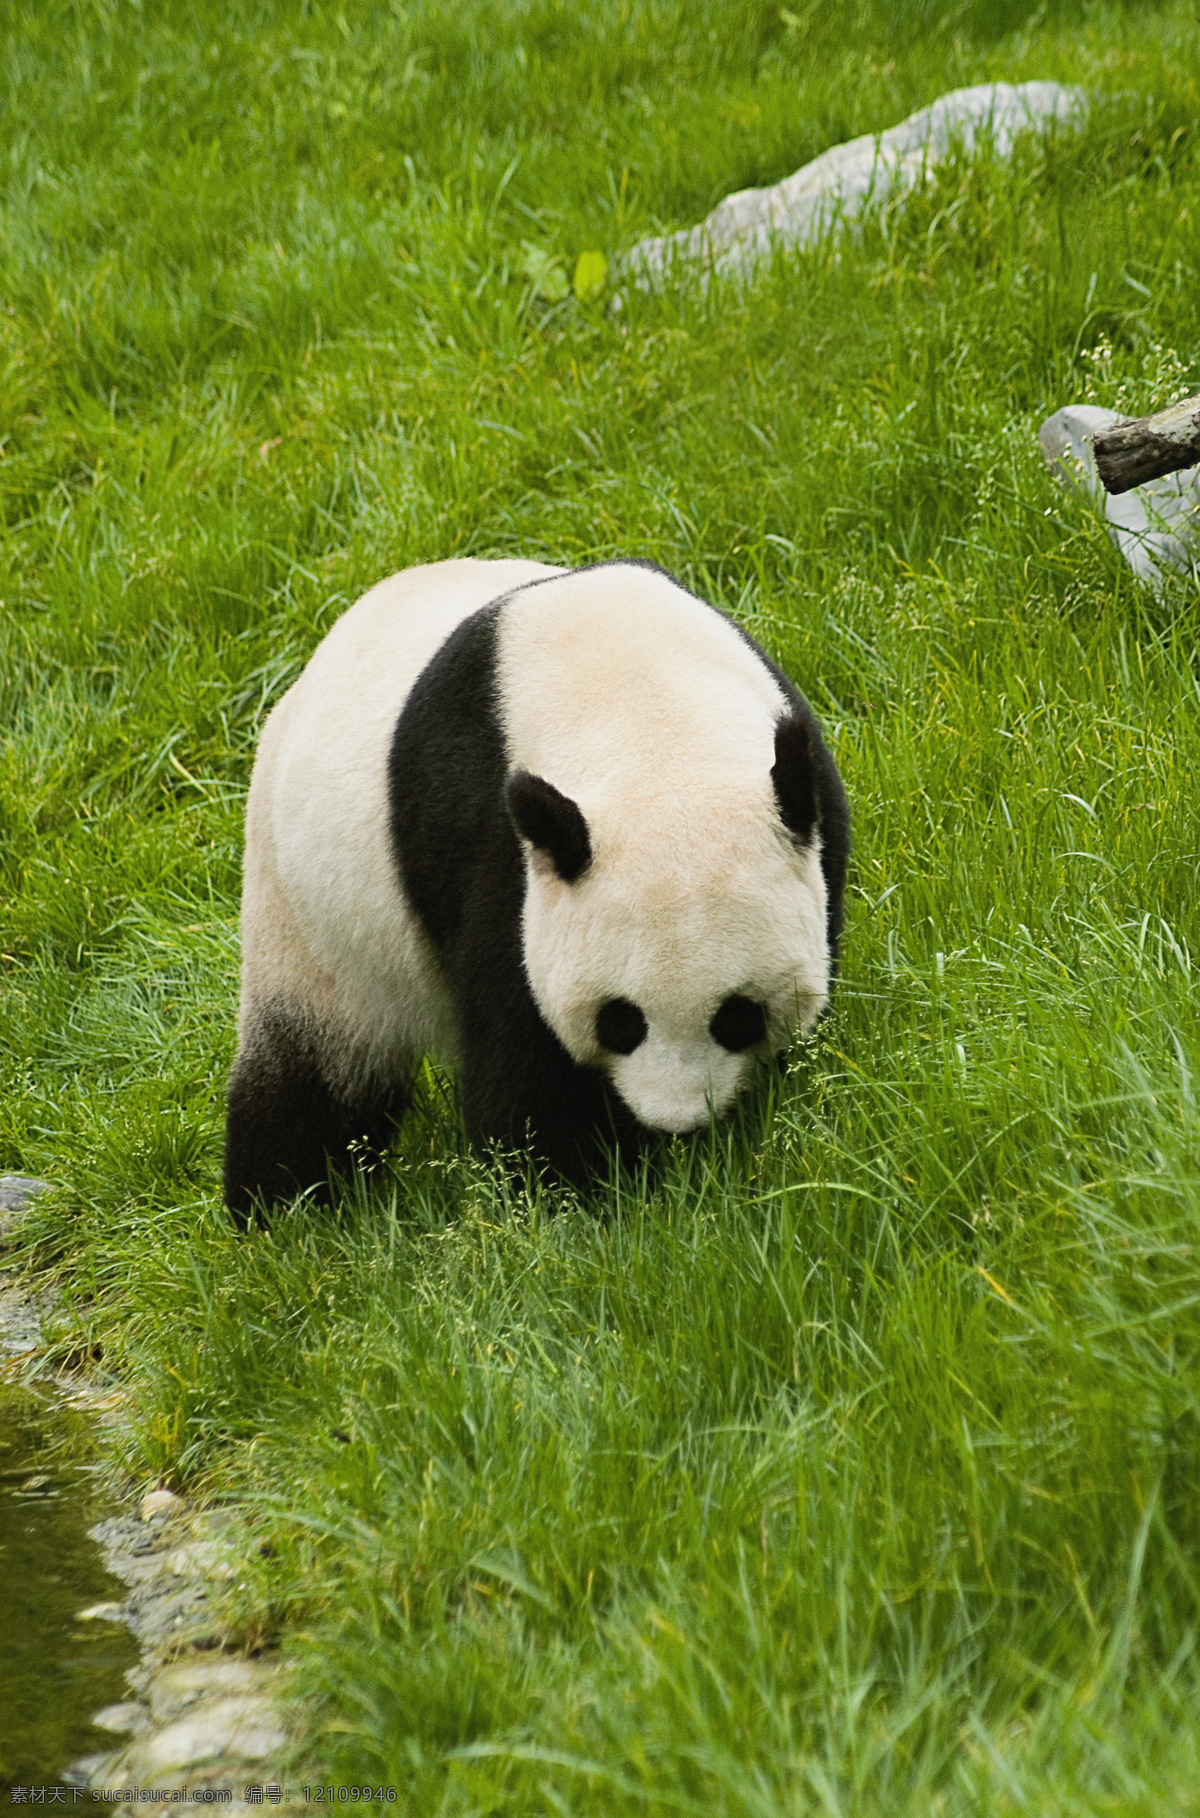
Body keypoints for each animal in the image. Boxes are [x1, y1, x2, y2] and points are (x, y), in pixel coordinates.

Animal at [222, 556, 843, 1221]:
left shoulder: (815, 805)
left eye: (738, 1017)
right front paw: (571, 1192)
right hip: (307, 909)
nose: (675, 1123)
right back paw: (284, 1207)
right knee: (312, 1075)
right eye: (620, 1022)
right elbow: (524, 1051)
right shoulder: (490, 846)